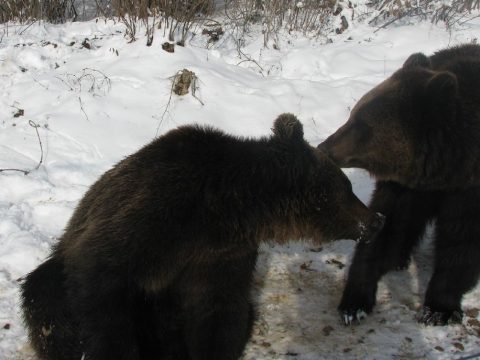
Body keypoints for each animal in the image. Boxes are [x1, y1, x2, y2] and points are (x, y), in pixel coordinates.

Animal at [22, 114, 384, 360]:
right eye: (348, 189)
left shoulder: (221, 253)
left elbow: (217, 310)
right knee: (45, 295)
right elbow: (101, 278)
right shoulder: (153, 217)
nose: (376, 221)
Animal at [320, 44, 480, 326]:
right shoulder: (405, 186)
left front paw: (438, 310)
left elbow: (461, 242)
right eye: (353, 114)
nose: (324, 147)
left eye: (363, 125)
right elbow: (389, 221)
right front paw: (354, 302)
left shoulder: (468, 191)